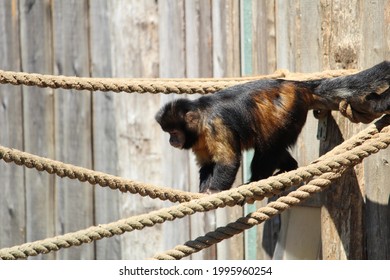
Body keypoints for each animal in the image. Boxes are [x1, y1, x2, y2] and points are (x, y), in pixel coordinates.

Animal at [155, 61, 390, 192]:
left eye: (173, 132)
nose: (171, 140)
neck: (202, 118)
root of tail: (297, 85)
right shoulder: (200, 137)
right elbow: (207, 164)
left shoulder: (215, 125)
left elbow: (228, 162)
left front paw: (212, 192)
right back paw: (289, 167)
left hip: (288, 109)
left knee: (267, 146)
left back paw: (257, 180)